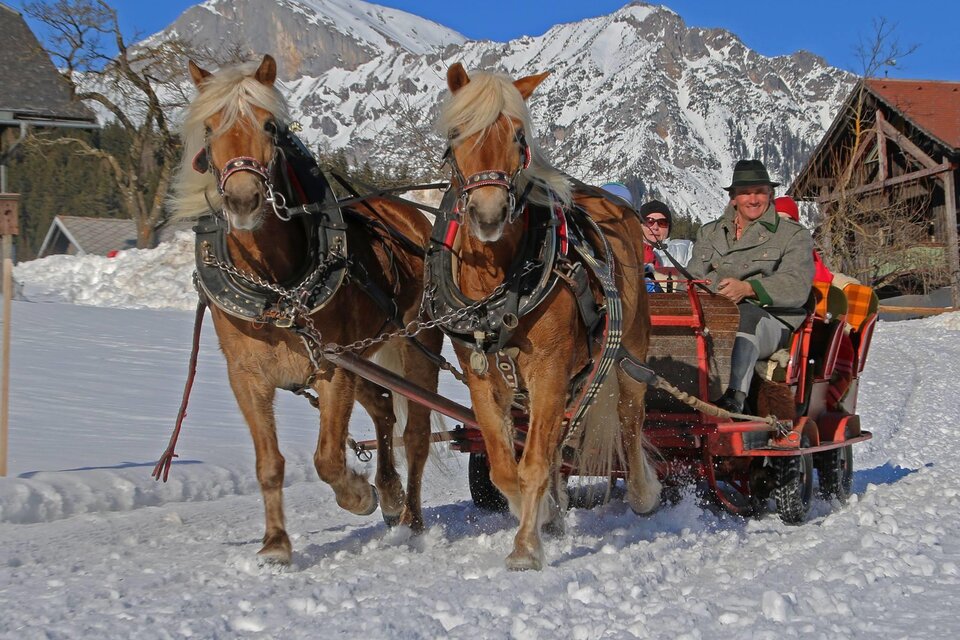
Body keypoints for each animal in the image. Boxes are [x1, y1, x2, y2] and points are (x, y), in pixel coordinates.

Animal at [171, 55, 442, 563]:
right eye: (210, 129)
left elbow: (328, 458)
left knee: (415, 434)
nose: (243, 200)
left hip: (414, 344)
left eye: (269, 125)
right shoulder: (247, 376)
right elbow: (269, 463)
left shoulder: (332, 368)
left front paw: (358, 496)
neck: (276, 287)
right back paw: (392, 494)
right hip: (365, 356)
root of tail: (410, 216)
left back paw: (411, 519)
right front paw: (276, 543)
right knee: (383, 408)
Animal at [430, 63, 661, 570]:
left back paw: (643, 494)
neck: (501, 280)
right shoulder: (484, 376)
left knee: (630, 419)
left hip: (630, 351)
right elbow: (505, 466)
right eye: (456, 133)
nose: (489, 214)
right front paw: (540, 517)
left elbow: (532, 462)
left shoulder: (549, 367)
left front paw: (526, 547)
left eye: (518, 136)